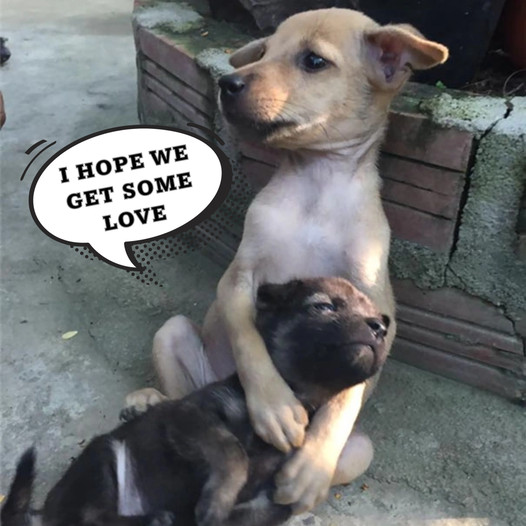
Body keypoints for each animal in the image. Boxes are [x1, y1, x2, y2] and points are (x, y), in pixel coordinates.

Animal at [3, 278, 392, 524]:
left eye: (381, 325)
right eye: (323, 306)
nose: (378, 328)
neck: (301, 393)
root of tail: (42, 514)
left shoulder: (266, 503)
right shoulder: (192, 415)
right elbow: (232, 451)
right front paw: (215, 500)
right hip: (104, 460)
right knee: (90, 516)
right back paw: (153, 517)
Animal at [129, 8, 450, 516]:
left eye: (313, 61)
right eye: (263, 51)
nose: (228, 83)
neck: (316, 183)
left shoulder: (378, 308)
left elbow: (344, 397)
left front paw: (310, 465)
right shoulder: (238, 279)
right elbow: (247, 339)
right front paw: (275, 407)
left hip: (360, 451)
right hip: (173, 334)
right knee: (179, 401)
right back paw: (148, 401)